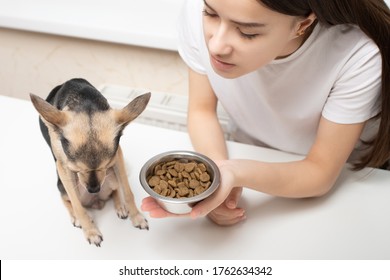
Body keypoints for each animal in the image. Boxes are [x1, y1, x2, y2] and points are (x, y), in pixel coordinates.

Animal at [30, 77, 151, 246]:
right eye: (76, 169)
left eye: (106, 166)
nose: (94, 189)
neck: (85, 102)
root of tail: (97, 202)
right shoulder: (63, 167)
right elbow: (77, 206)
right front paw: (91, 231)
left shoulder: (117, 157)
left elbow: (128, 192)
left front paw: (137, 217)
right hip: (64, 185)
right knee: (66, 199)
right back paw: (76, 217)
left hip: (112, 178)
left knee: (115, 190)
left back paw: (120, 206)